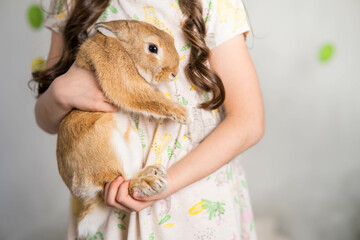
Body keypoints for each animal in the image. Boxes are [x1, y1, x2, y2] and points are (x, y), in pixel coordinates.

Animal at [57, 20, 186, 238]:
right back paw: (150, 183)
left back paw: (152, 172)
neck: (125, 49)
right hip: (105, 146)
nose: (174, 73)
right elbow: (145, 96)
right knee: (119, 183)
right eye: (153, 48)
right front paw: (182, 113)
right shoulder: (118, 68)